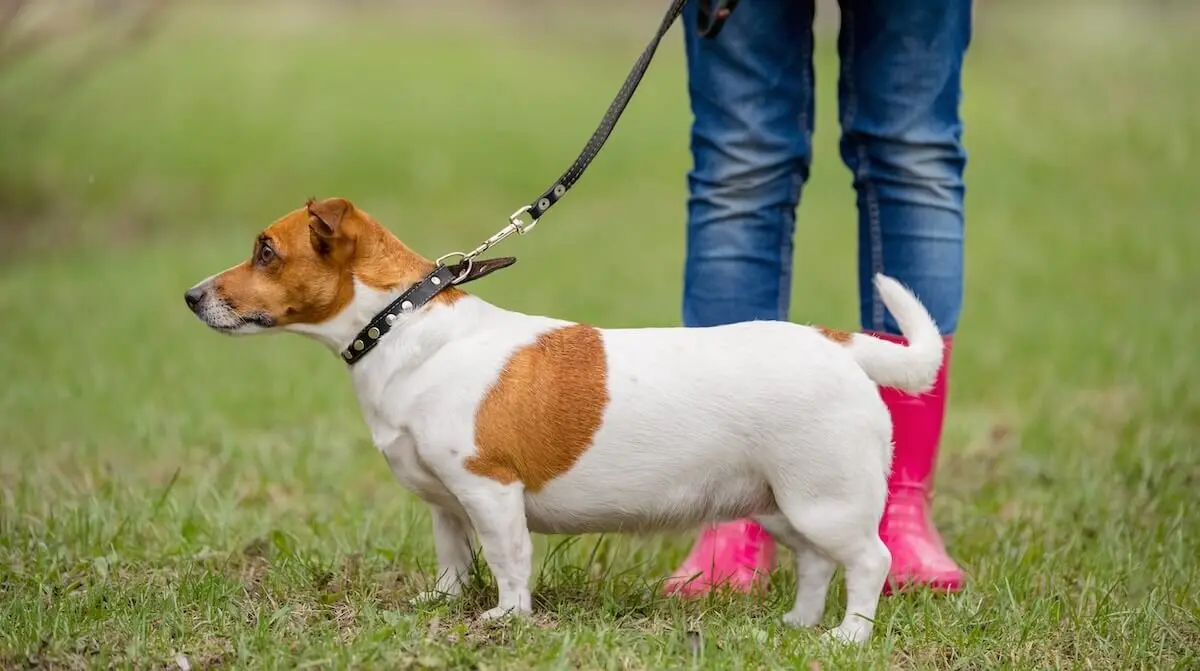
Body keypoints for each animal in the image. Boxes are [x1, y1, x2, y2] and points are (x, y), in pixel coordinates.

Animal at [182, 196, 945, 643]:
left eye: (266, 251)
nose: (190, 296)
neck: (404, 326)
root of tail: (836, 343)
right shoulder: (445, 504)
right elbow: (454, 559)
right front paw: (443, 602)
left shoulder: (489, 489)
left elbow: (508, 558)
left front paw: (508, 617)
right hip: (784, 505)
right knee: (817, 563)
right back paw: (800, 623)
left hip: (825, 501)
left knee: (869, 560)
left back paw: (850, 635)